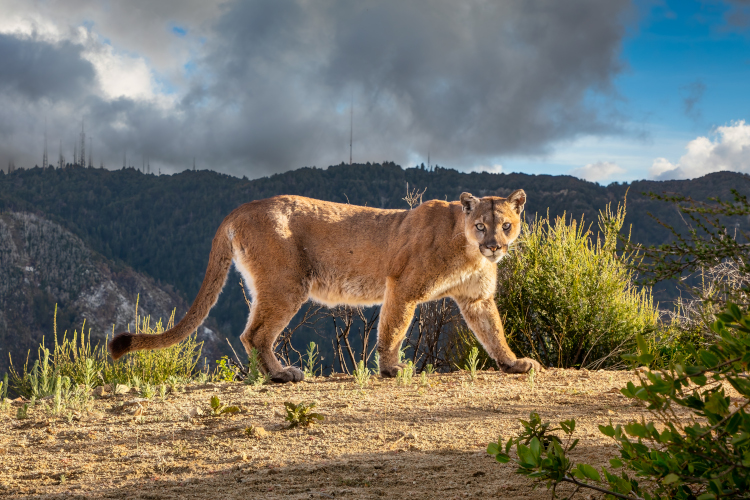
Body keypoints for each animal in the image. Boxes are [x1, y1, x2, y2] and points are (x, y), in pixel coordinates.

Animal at [110, 191, 540, 382]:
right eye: (480, 225)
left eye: (505, 225)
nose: (494, 246)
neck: (466, 249)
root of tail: (242, 206)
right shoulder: (403, 287)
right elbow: (393, 329)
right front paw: (390, 369)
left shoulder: (477, 299)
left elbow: (493, 332)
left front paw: (513, 363)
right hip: (286, 284)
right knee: (255, 333)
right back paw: (281, 374)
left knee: (252, 332)